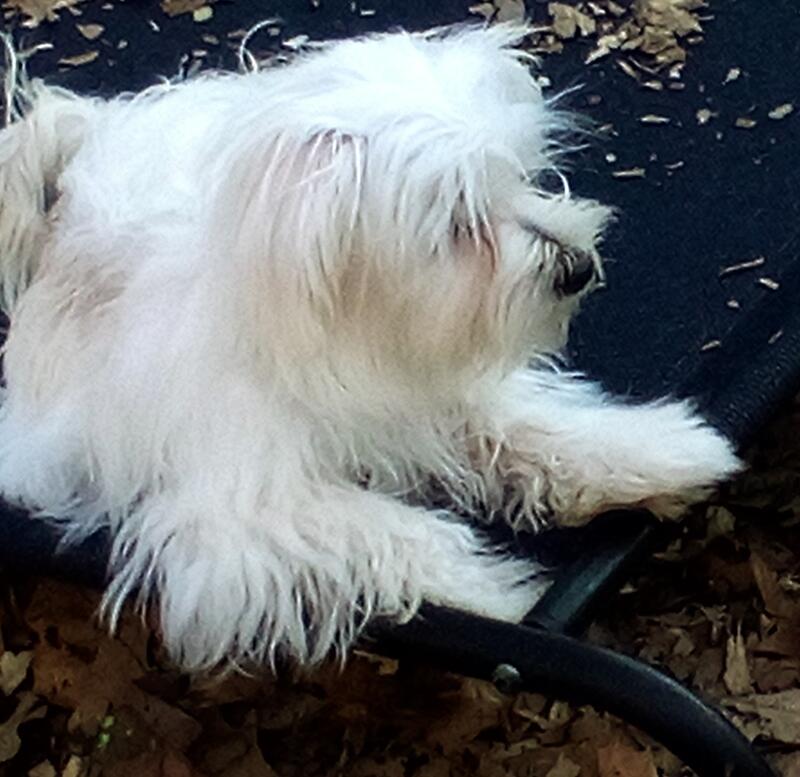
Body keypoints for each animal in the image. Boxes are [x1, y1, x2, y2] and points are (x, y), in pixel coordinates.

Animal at [0, 24, 740, 670]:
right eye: (457, 222)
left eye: (517, 176)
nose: (576, 266)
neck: (351, 328)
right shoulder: (245, 518)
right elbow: (390, 534)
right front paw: (496, 594)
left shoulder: (433, 392)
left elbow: (537, 428)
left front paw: (664, 453)